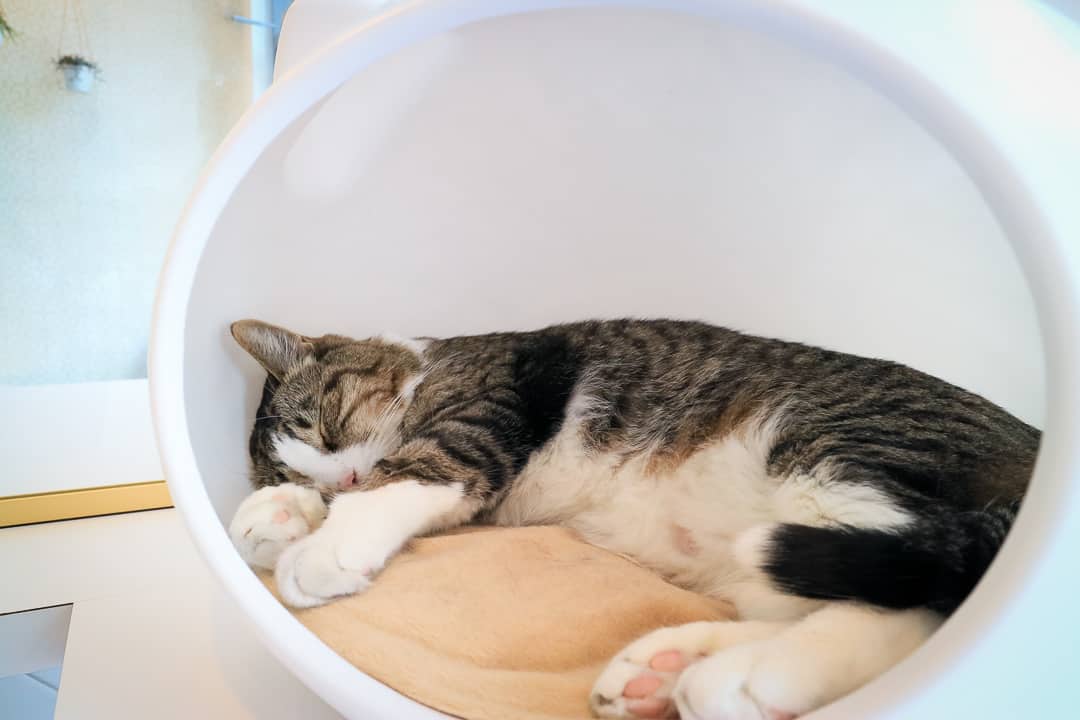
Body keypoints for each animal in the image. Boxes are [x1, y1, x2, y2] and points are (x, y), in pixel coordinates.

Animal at [225, 321, 1036, 720]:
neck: (427, 370)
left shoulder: (488, 413)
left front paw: (325, 542)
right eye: (296, 465)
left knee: (924, 603)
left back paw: (747, 675)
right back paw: (668, 667)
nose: (336, 475)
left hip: (838, 452)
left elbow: (415, 468)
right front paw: (279, 513)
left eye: (326, 422)